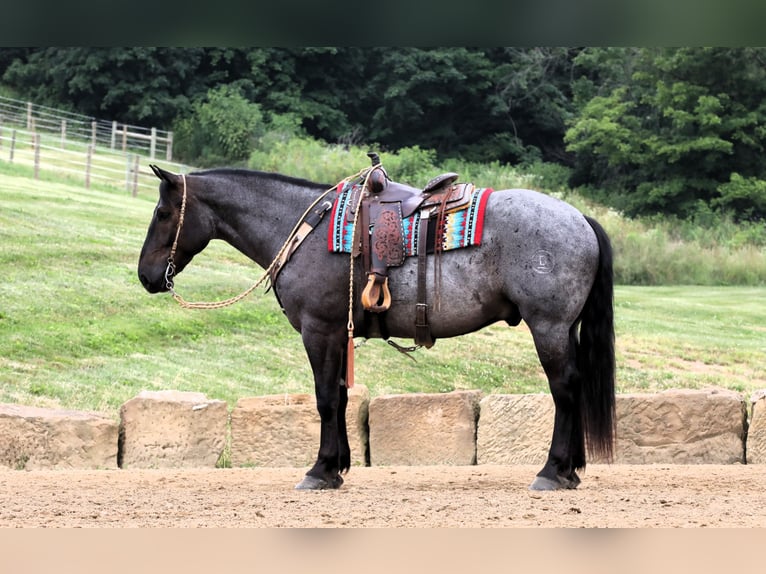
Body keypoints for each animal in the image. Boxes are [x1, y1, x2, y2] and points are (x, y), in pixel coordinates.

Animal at [138, 161, 616, 490]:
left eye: (162, 212)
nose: (146, 276)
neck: (306, 230)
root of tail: (580, 219)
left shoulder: (319, 330)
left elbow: (326, 399)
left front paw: (320, 470)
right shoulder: (338, 334)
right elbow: (342, 398)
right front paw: (337, 467)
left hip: (548, 326)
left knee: (564, 389)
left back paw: (553, 471)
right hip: (564, 329)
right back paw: (571, 470)